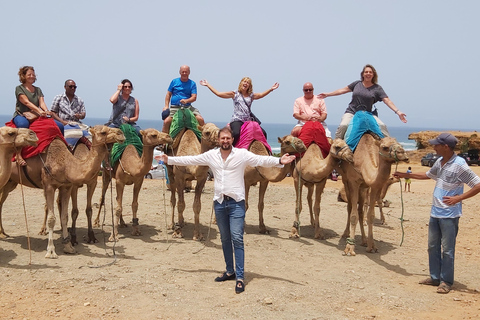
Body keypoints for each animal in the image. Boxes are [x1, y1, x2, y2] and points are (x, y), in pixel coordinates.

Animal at [0, 125, 125, 258]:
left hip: (10, 182)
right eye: (103, 132)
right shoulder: (50, 186)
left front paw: (68, 246)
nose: (120, 133)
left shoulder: (67, 186)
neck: (66, 164)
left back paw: (3, 233)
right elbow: (52, 218)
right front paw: (51, 251)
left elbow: (65, 216)